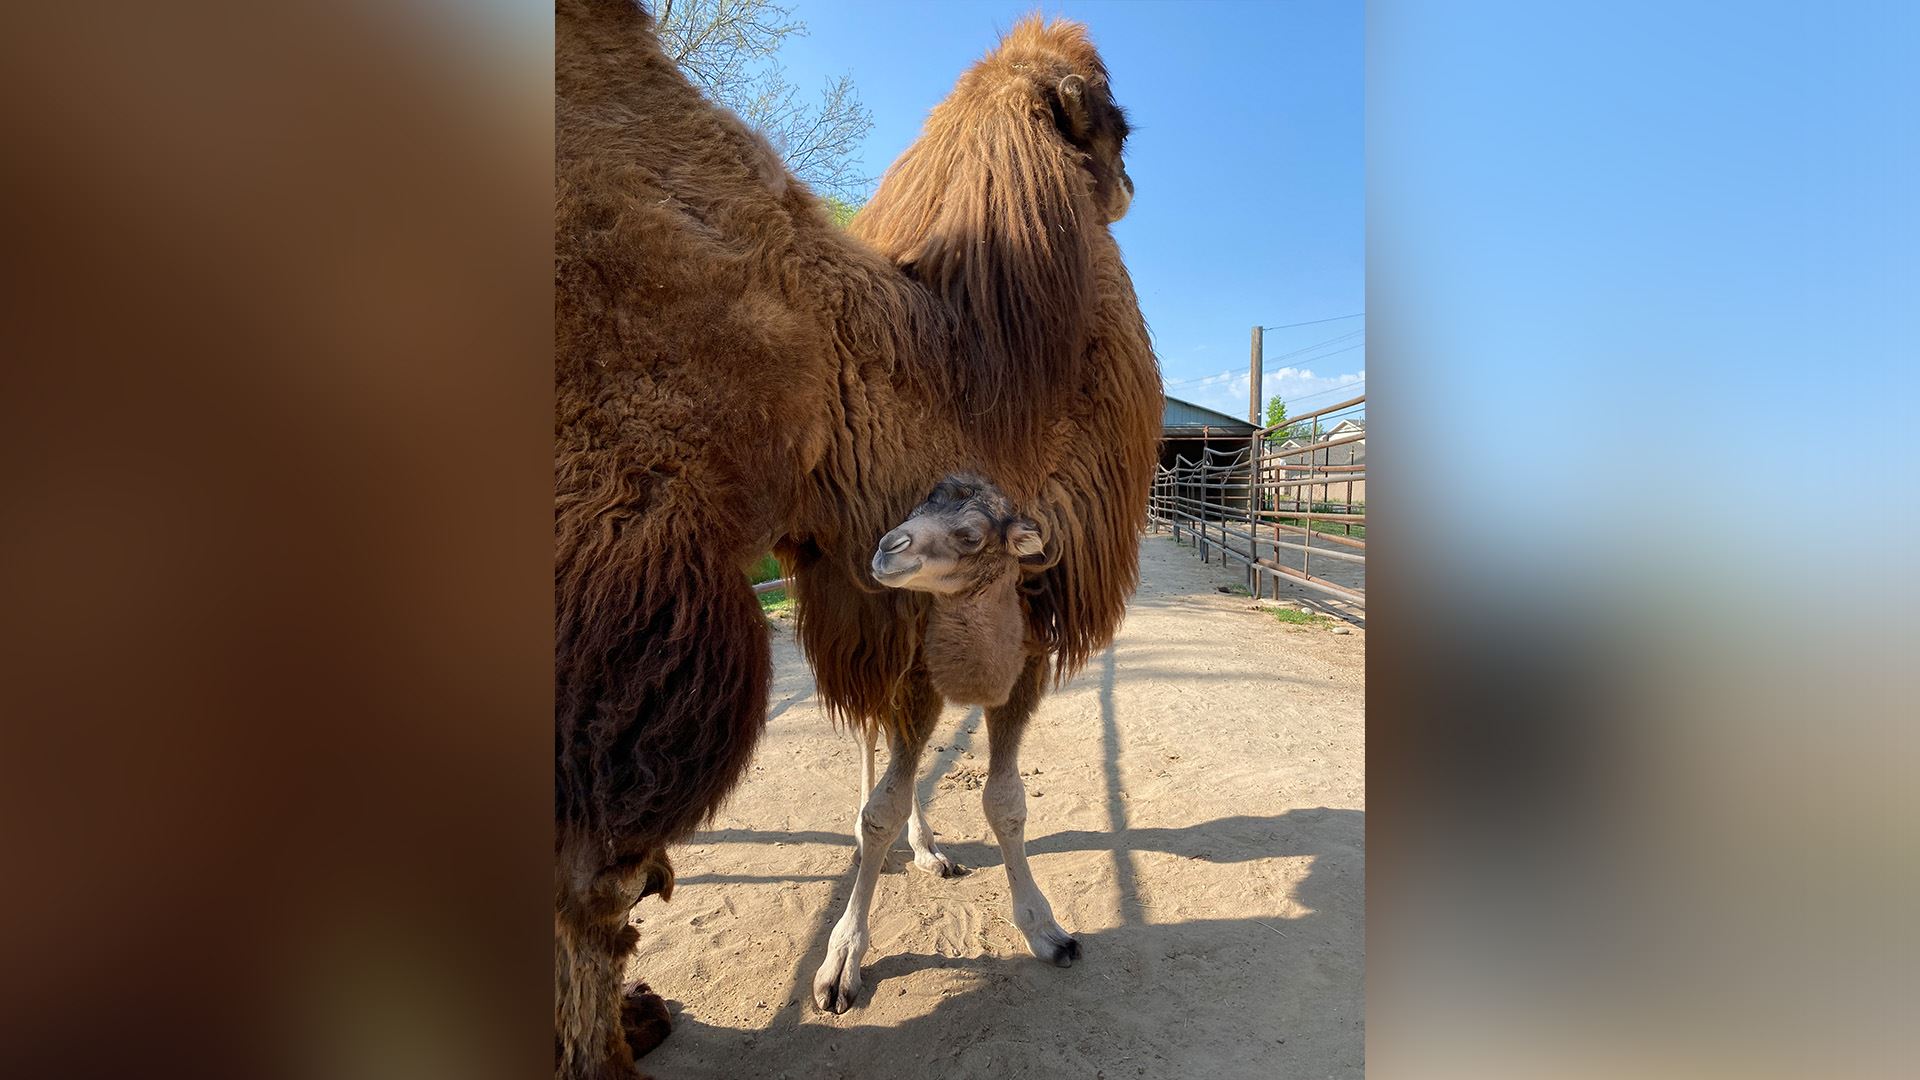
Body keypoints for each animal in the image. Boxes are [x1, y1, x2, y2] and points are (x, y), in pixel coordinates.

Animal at [556, 1, 1159, 1074]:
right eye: (1114, 121)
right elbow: (598, 888)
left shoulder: (999, 627)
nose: (1133, 183)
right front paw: (832, 961)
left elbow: (997, 793)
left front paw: (1042, 925)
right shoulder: (625, 586)